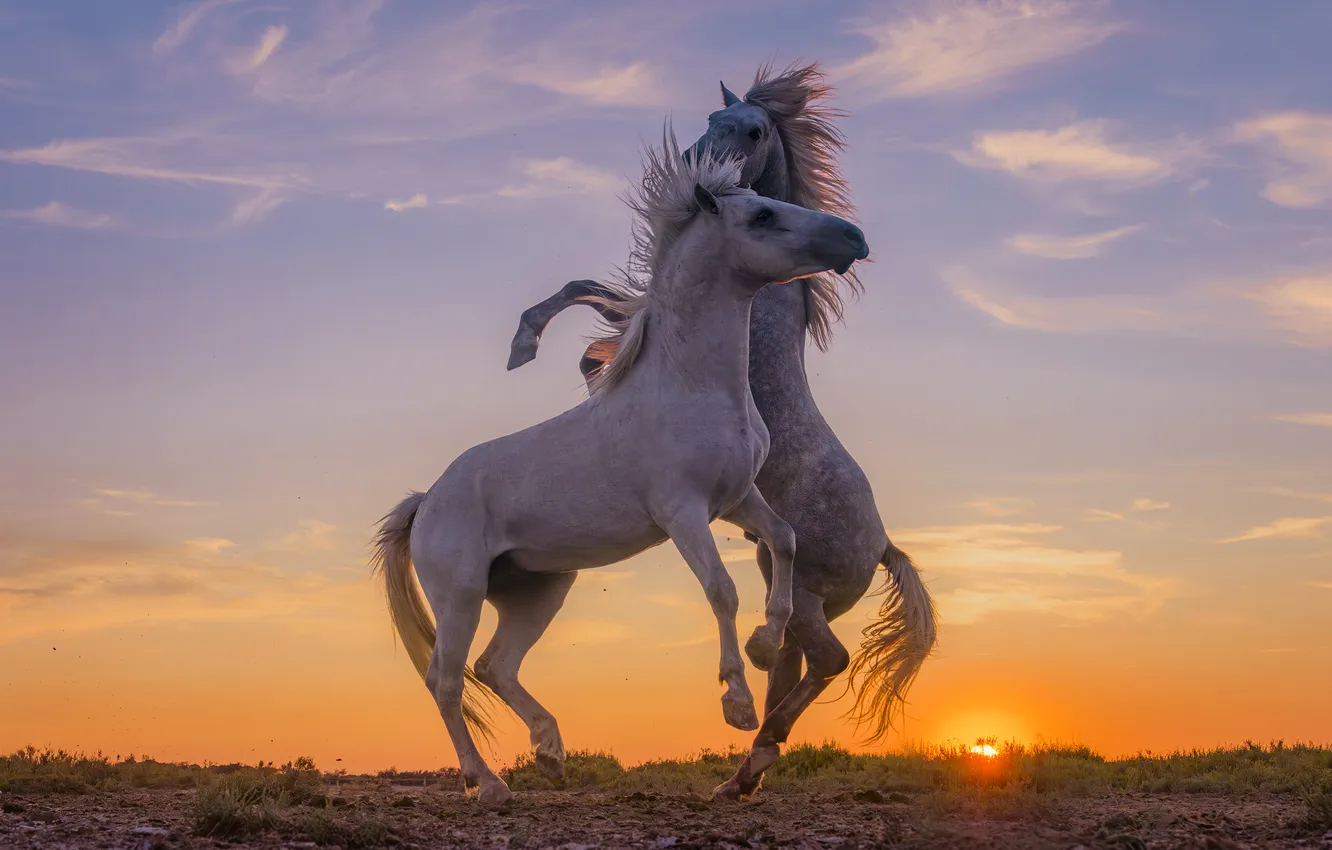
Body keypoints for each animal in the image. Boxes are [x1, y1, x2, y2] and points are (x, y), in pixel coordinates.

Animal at [371, 129, 871, 806]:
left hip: (539, 590)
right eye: (763, 215)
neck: (691, 386)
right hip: (462, 594)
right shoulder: (683, 512)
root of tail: (425, 500)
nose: (855, 238)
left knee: (494, 666)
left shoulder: (738, 500)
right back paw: (490, 783)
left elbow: (787, 540)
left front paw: (766, 646)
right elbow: (722, 589)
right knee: (445, 681)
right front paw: (738, 703)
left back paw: (551, 753)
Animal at [504, 62, 938, 800]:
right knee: (795, 663)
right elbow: (587, 290)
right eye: (713, 119)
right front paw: (550, 353)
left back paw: (758, 743)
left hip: (810, 592)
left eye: (755, 130)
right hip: (790, 584)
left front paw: (549, 349)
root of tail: (883, 543)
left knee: (828, 659)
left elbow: (603, 303)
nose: (694, 164)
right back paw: (744, 769)